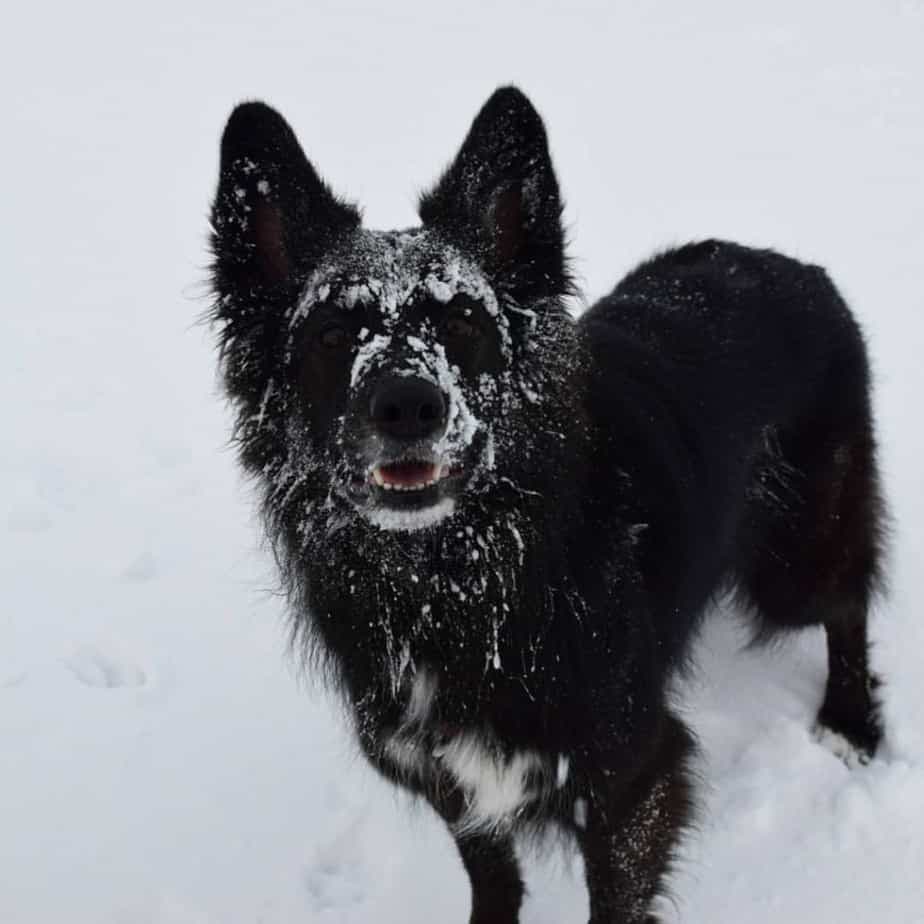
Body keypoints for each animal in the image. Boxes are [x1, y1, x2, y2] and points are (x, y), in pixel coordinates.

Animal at [209, 88, 888, 924]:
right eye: (335, 334)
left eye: (461, 321)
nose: (408, 405)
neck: (453, 581)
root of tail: (798, 269)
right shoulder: (453, 778)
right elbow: (492, 872)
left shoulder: (631, 778)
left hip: (795, 559)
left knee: (846, 601)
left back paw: (849, 723)